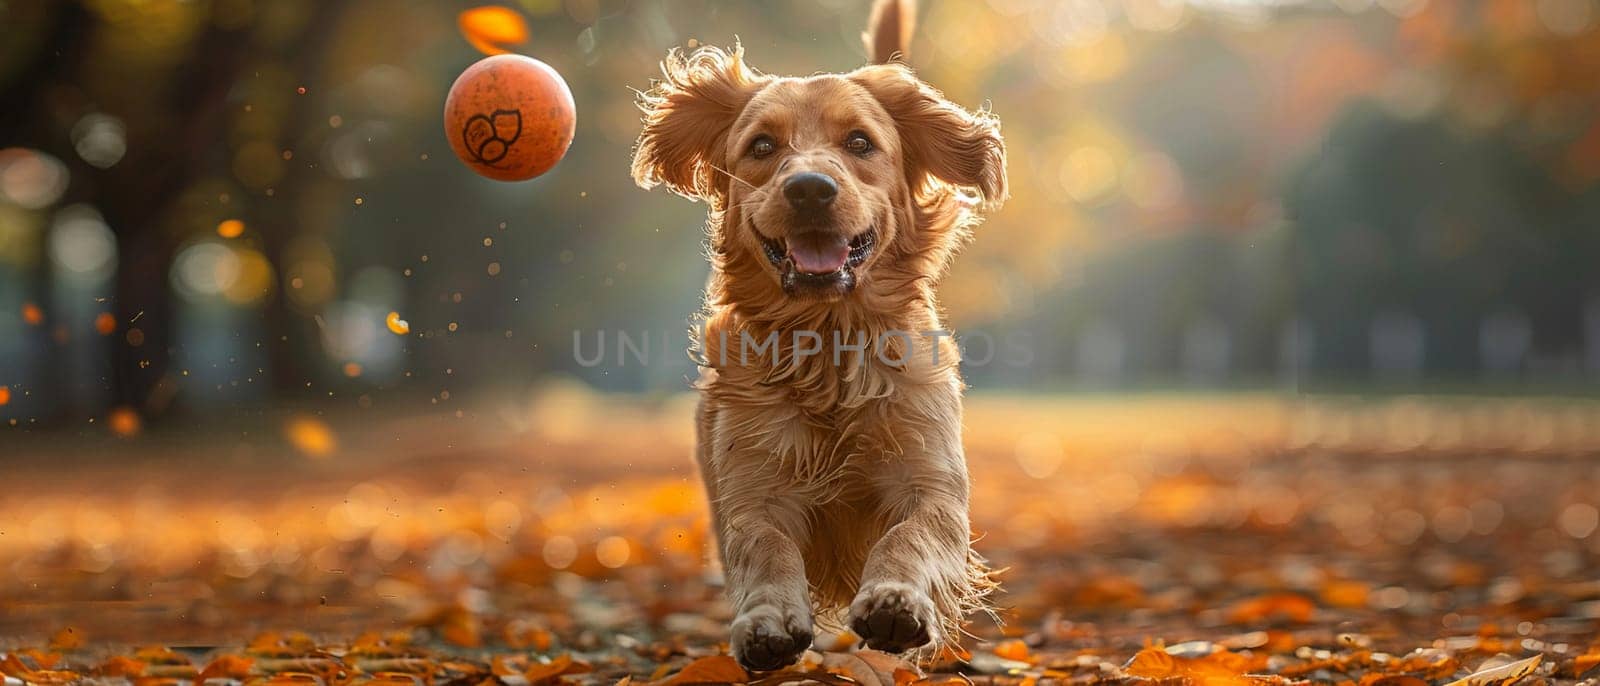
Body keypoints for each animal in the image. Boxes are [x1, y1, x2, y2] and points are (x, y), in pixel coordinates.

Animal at [630, 0, 1004, 665]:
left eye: (860, 142)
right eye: (761, 145)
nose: (809, 188)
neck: (828, 341)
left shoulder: (931, 480)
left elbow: (910, 536)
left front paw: (895, 603)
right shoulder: (752, 490)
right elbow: (765, 548)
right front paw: (768, 619)